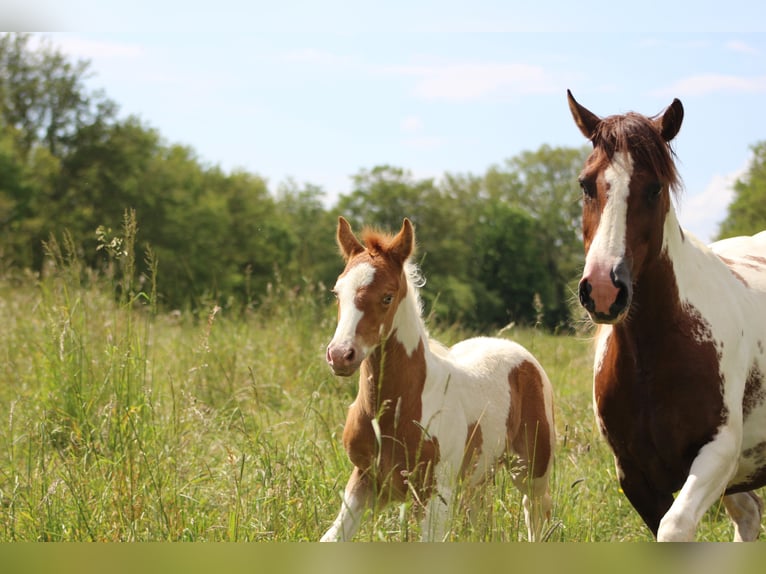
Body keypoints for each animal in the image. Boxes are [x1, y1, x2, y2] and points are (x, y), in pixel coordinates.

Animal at [320, 217, 556, 544]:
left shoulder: (435, 491)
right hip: (479, 472)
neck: (398, 410)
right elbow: (331, 537)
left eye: (387, 296)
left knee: (535, 510)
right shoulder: (364, 478)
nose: (341, 355)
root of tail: (519, 353)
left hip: (532, 467)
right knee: (480, 514)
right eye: (336, 292)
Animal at [568, 91, 766, 544]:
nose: (603, 289)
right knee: (748, 514)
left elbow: (674, 529)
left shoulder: (717, 454)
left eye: (653, 187)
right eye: (587, 184)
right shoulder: (635, 475)